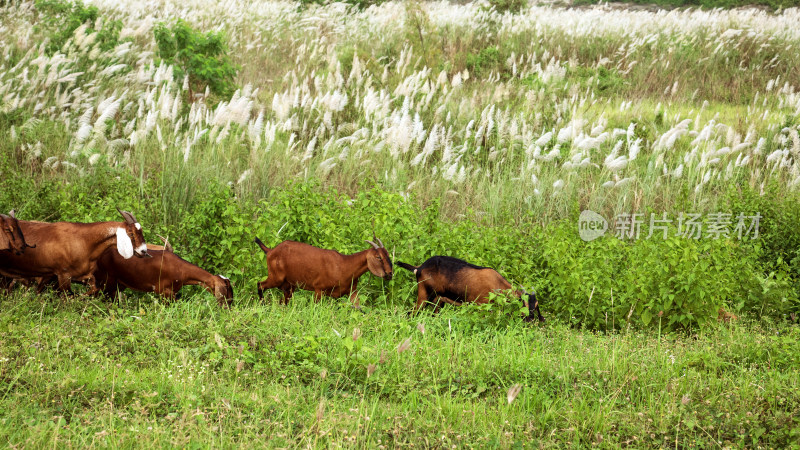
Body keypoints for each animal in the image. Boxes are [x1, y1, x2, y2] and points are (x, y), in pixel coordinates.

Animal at [0, 209, 152, 294]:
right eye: (131, 234)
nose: (143, 251)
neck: (84, 241)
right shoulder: (63, 275)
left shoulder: (84, 275)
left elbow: (93, 289)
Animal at [93, 239, 234, 310]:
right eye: (227, 289)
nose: (229, 306)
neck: (181, 269)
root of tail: (101, 256)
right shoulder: (164, 292)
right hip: (107, 282)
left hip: (118, 284)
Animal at [255, 234, 392, 308]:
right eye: (378, 257)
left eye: (387, 255)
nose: (390, 274)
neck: (345, 265)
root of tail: (270, 251)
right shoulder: (318, 289)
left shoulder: (352, 292)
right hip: (276, 278)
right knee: (260, 285)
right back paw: (262, 305)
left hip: (289, 286)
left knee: (284, 300)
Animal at [396, 255, 544, 322]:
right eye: (523, 303)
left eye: (536, 305)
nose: (530, 319)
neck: (497, 284)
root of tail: (419, 268)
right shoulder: (480, 305)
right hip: (424, 295)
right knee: (411, 313)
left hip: (438, 300)